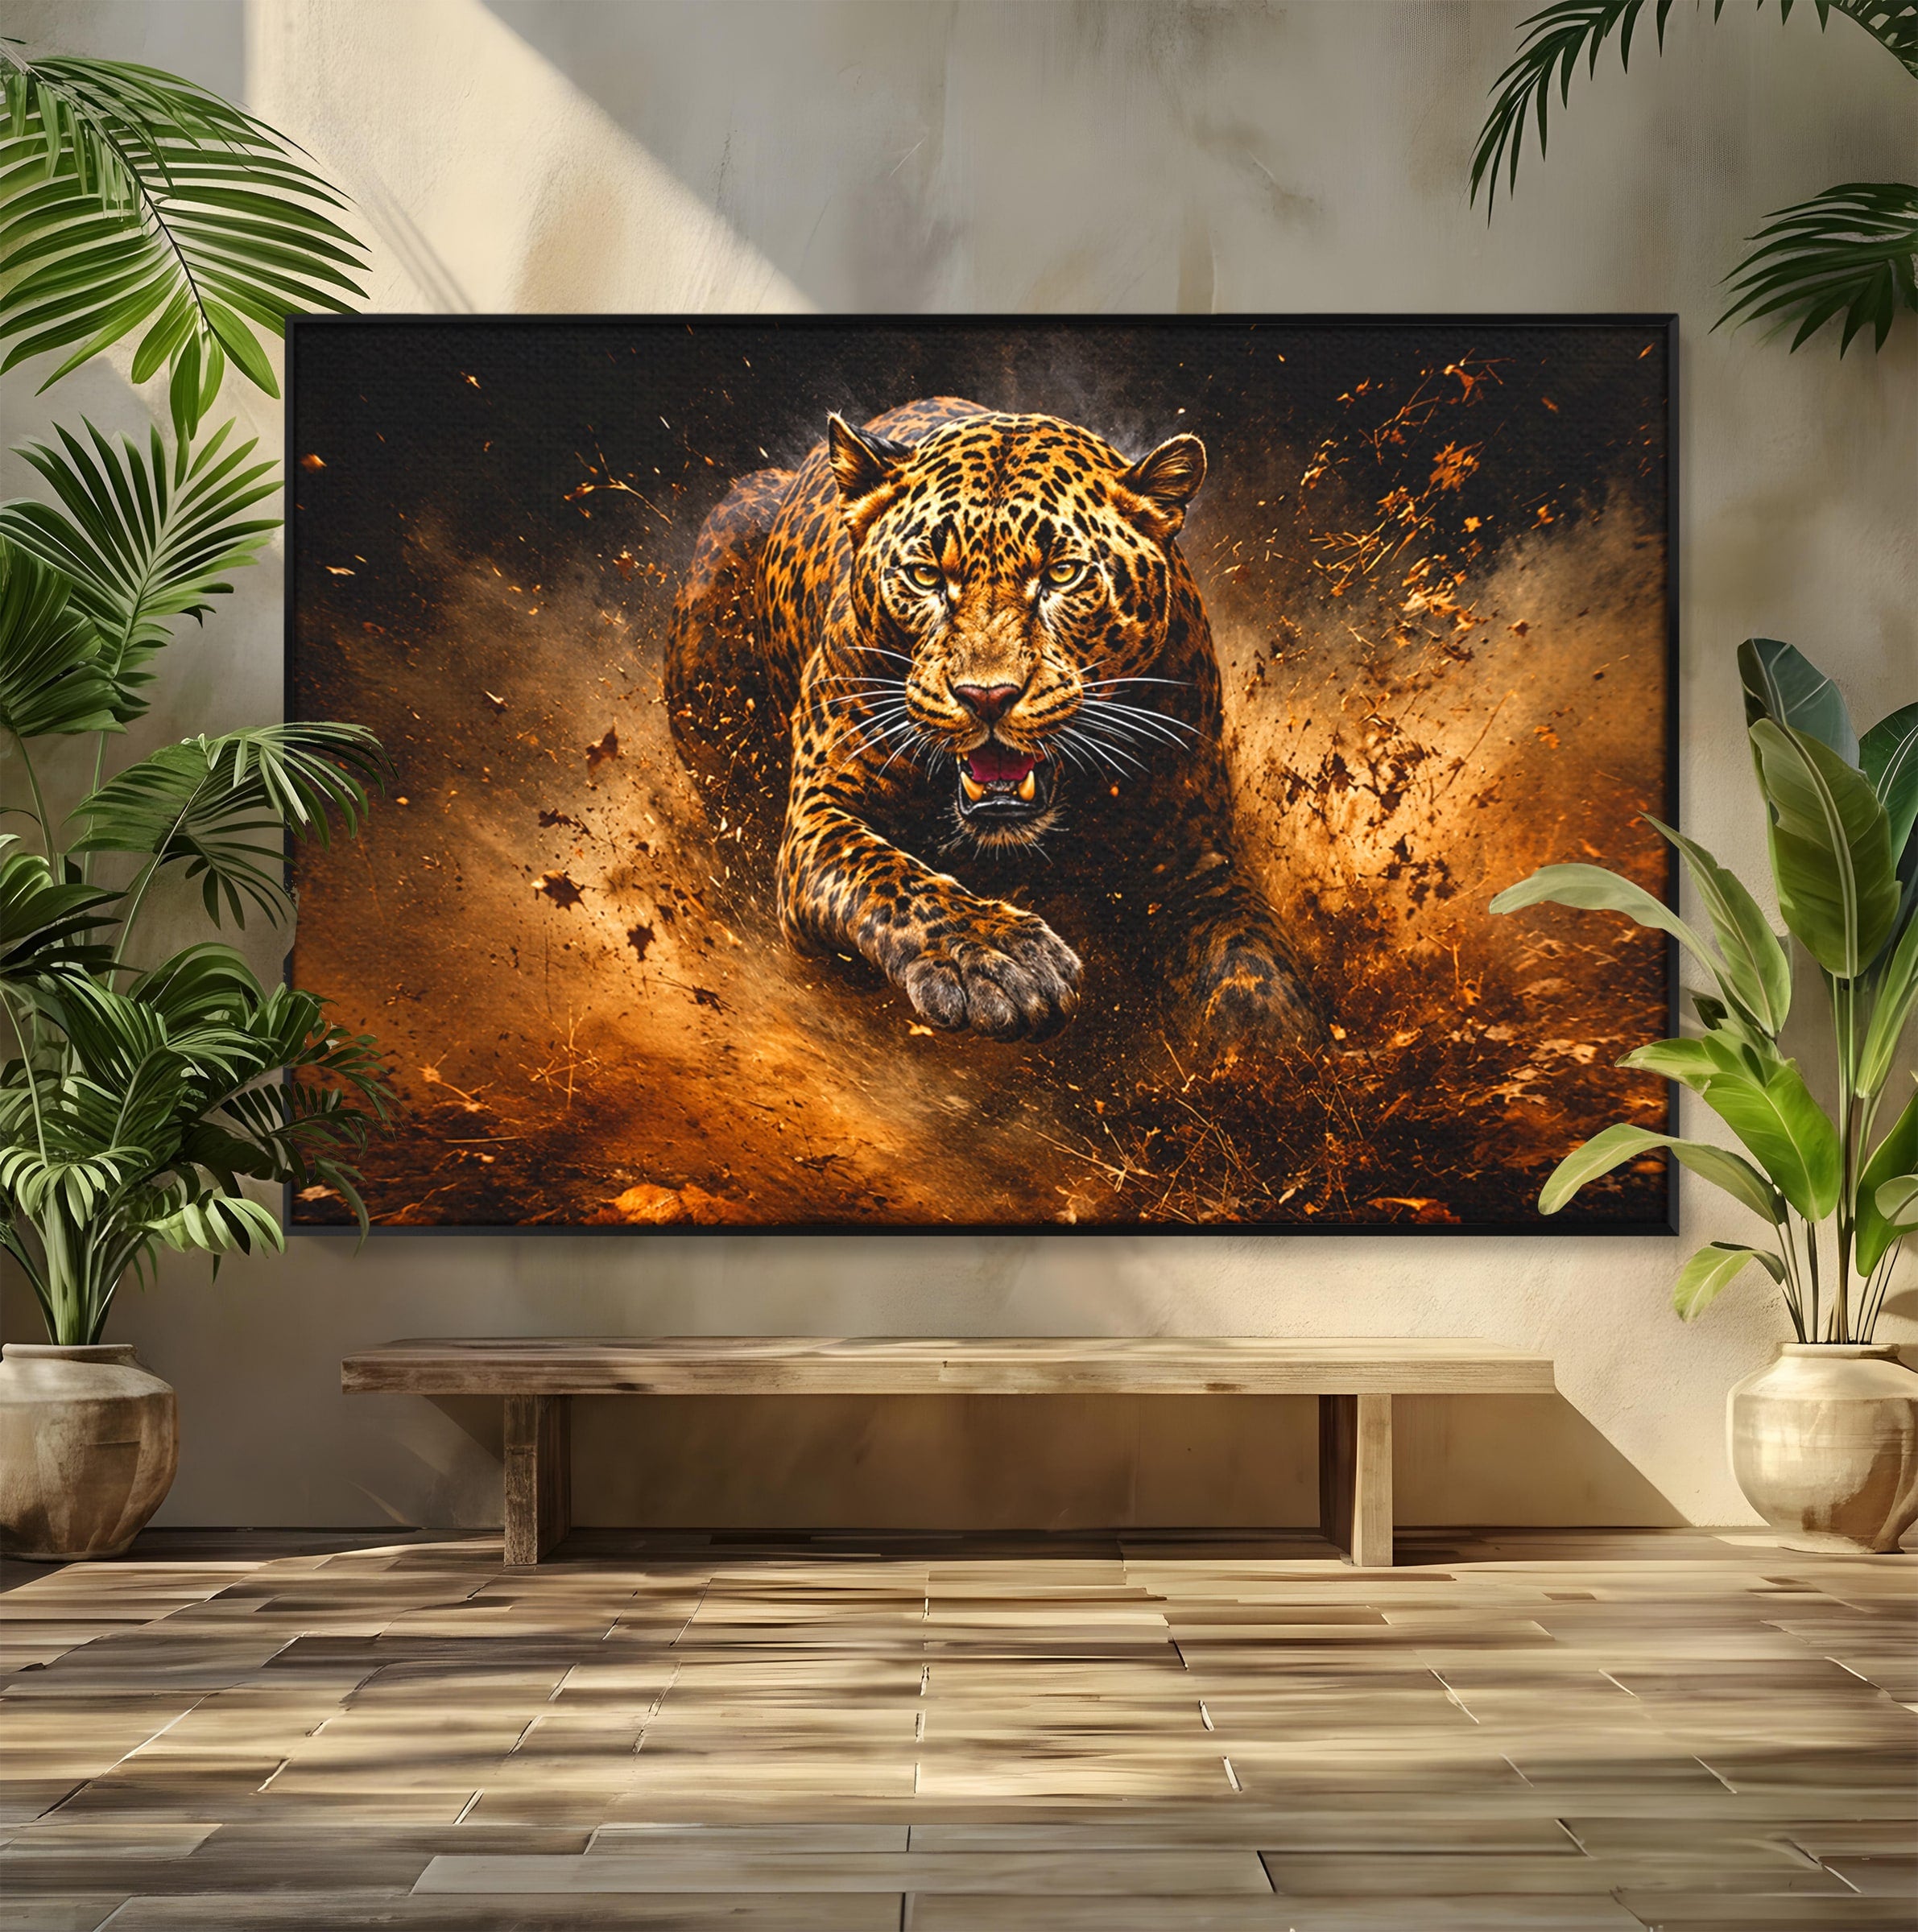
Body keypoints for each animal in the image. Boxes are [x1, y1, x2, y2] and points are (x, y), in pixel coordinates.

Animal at [664, 396, 1324, 1052]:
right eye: (927, 576)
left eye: (1061, 575)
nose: (987, 697)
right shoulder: (820, 813)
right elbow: (889, 876)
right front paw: (1000, 958)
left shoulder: (1195, 856)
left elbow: (1251, 964)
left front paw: (1274, 1051)